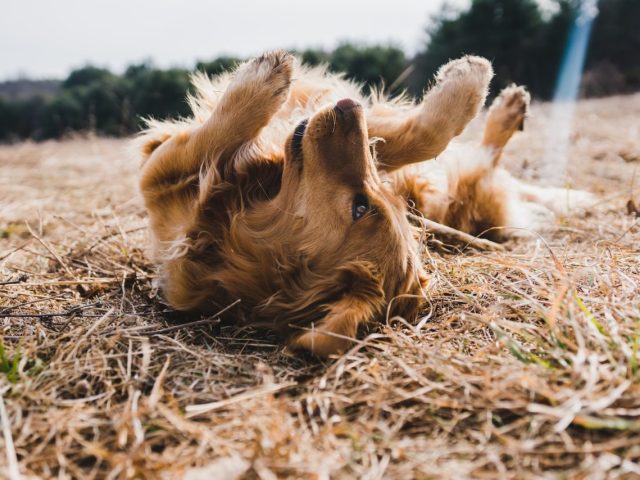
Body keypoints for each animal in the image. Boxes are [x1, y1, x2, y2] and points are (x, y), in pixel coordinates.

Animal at [138, 50, 592, 356]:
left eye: (362, 207)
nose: (348, 106)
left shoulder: (157, 178)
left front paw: (260, 83)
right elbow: (418, 137)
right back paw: (511, 109)